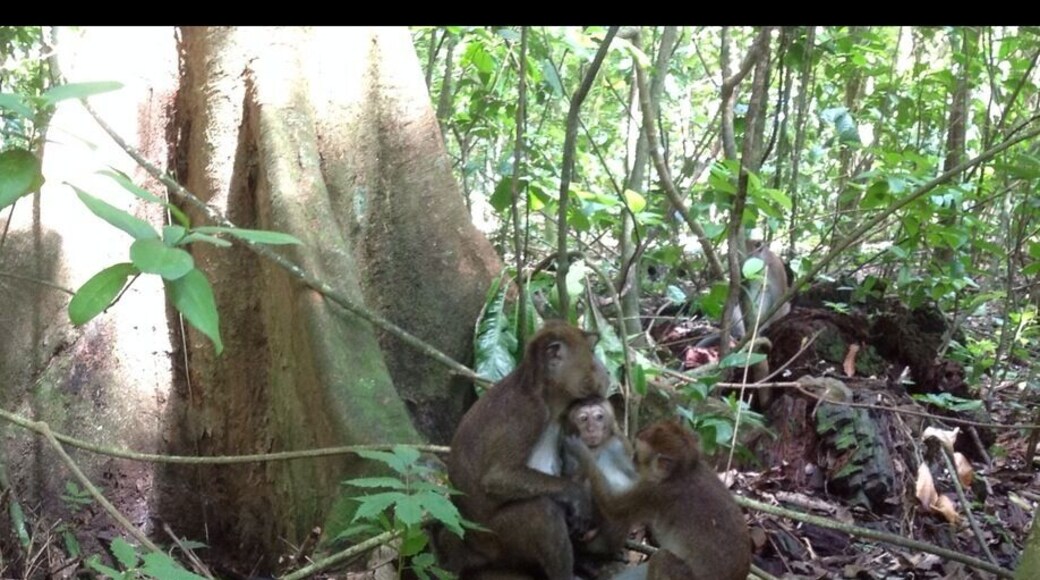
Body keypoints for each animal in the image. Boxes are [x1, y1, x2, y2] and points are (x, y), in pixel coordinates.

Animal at [445, 320, 611, 580]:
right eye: (592, 352)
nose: (606, 370)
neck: (546, 396)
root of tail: (471, 546)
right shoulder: (529, 414)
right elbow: (498, 476)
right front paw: (576, 494)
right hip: (500, 540)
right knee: (543, 511)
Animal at [564, 420, 751, 580]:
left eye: (637, 454)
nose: (632, 459)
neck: (681, 473)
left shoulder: (654, 492)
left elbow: (613, 507)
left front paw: (581, 452)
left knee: (662, 559)